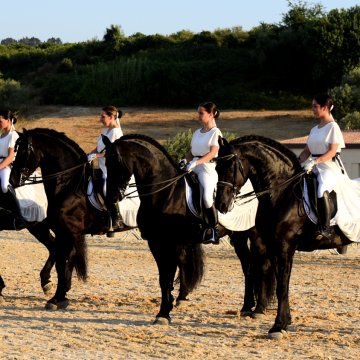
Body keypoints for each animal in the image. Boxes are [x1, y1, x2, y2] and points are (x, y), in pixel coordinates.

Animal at [9, 128, 208, 310]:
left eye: (23, 151)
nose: (12, 181)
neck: (69, 184)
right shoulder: (63, 230)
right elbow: (61, 255)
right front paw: (58, 292)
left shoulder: (69, 231)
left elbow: (61, 260)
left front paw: (56, 296)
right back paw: (180, 295)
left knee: (182, 258)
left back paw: (181, 296)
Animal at [102, 134, 276, 324]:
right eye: (105, 163)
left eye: (116, 163)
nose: (111, 196)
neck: (164, 192)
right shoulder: (155, 243)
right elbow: (164, 278)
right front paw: (166, 309)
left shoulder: (173, 241)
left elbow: (170, 274)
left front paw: (164, 313)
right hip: (238, 235)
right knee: (248, 267)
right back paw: (246, 307)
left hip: (256, 235)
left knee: (263, 266)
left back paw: (259, 309)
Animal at [214, 136, 352, 340]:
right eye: (216, 168)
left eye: (231, 168)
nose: (221, 205)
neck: (281, 193)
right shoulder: (272, 245)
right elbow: (279, 283)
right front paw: (285, 322)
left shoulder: (285, 245)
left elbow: (282, 285)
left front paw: (278, 326)